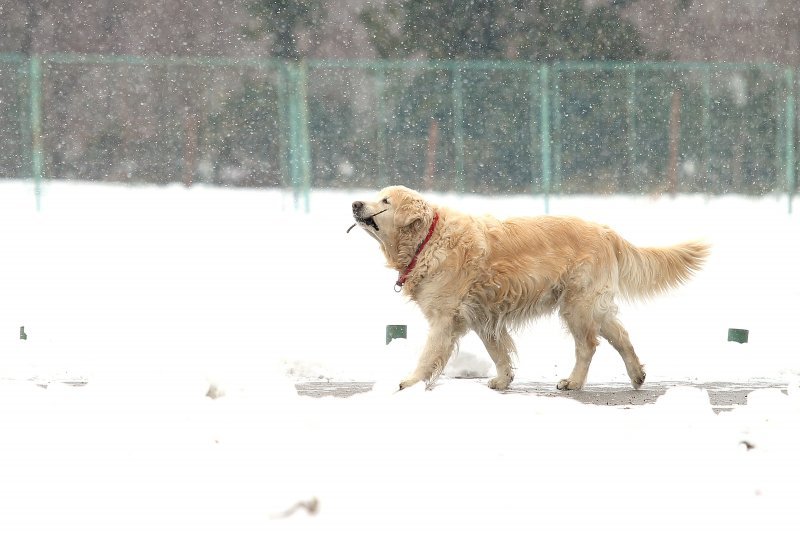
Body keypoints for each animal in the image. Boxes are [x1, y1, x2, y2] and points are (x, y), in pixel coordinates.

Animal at [350, 186, 708, 390]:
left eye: (384, 201)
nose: (355, 203)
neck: (428, 239)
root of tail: (606, 231)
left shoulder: (444, 318)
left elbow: (428, 356)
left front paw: (409, 383)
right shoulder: (482, 316)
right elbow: (497, 351)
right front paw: (502, 379)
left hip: (576, 306)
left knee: (588, 345)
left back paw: (574, 382)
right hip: (593, 305)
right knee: (621, 336)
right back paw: (636, 376)